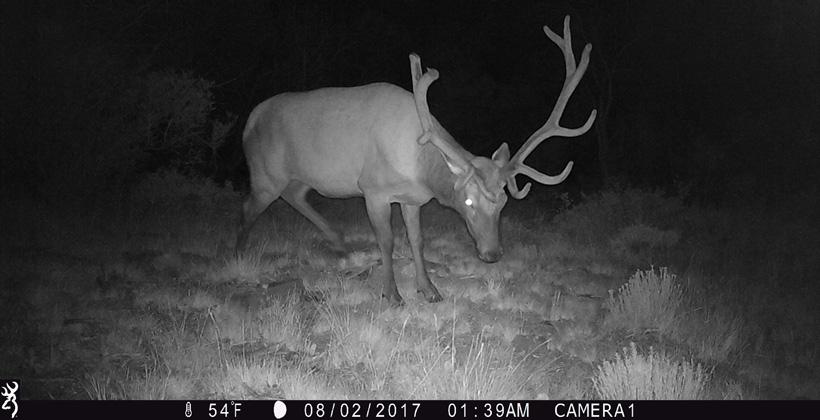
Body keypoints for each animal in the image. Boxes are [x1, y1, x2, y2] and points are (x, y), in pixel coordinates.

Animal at [236, 16, 595, 304]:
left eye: (504, 202)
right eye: (468, 202)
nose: (492, 254)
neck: (419, 166)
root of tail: (249, 120)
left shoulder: (412, 199)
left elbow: (417, 240)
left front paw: (430, 290)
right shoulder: (373, 190)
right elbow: (387, 240)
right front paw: (392, 294)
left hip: (296, 176)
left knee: (294, 196)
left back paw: (339, 242)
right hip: (264, 171)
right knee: (251, 206)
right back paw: (239, 252)